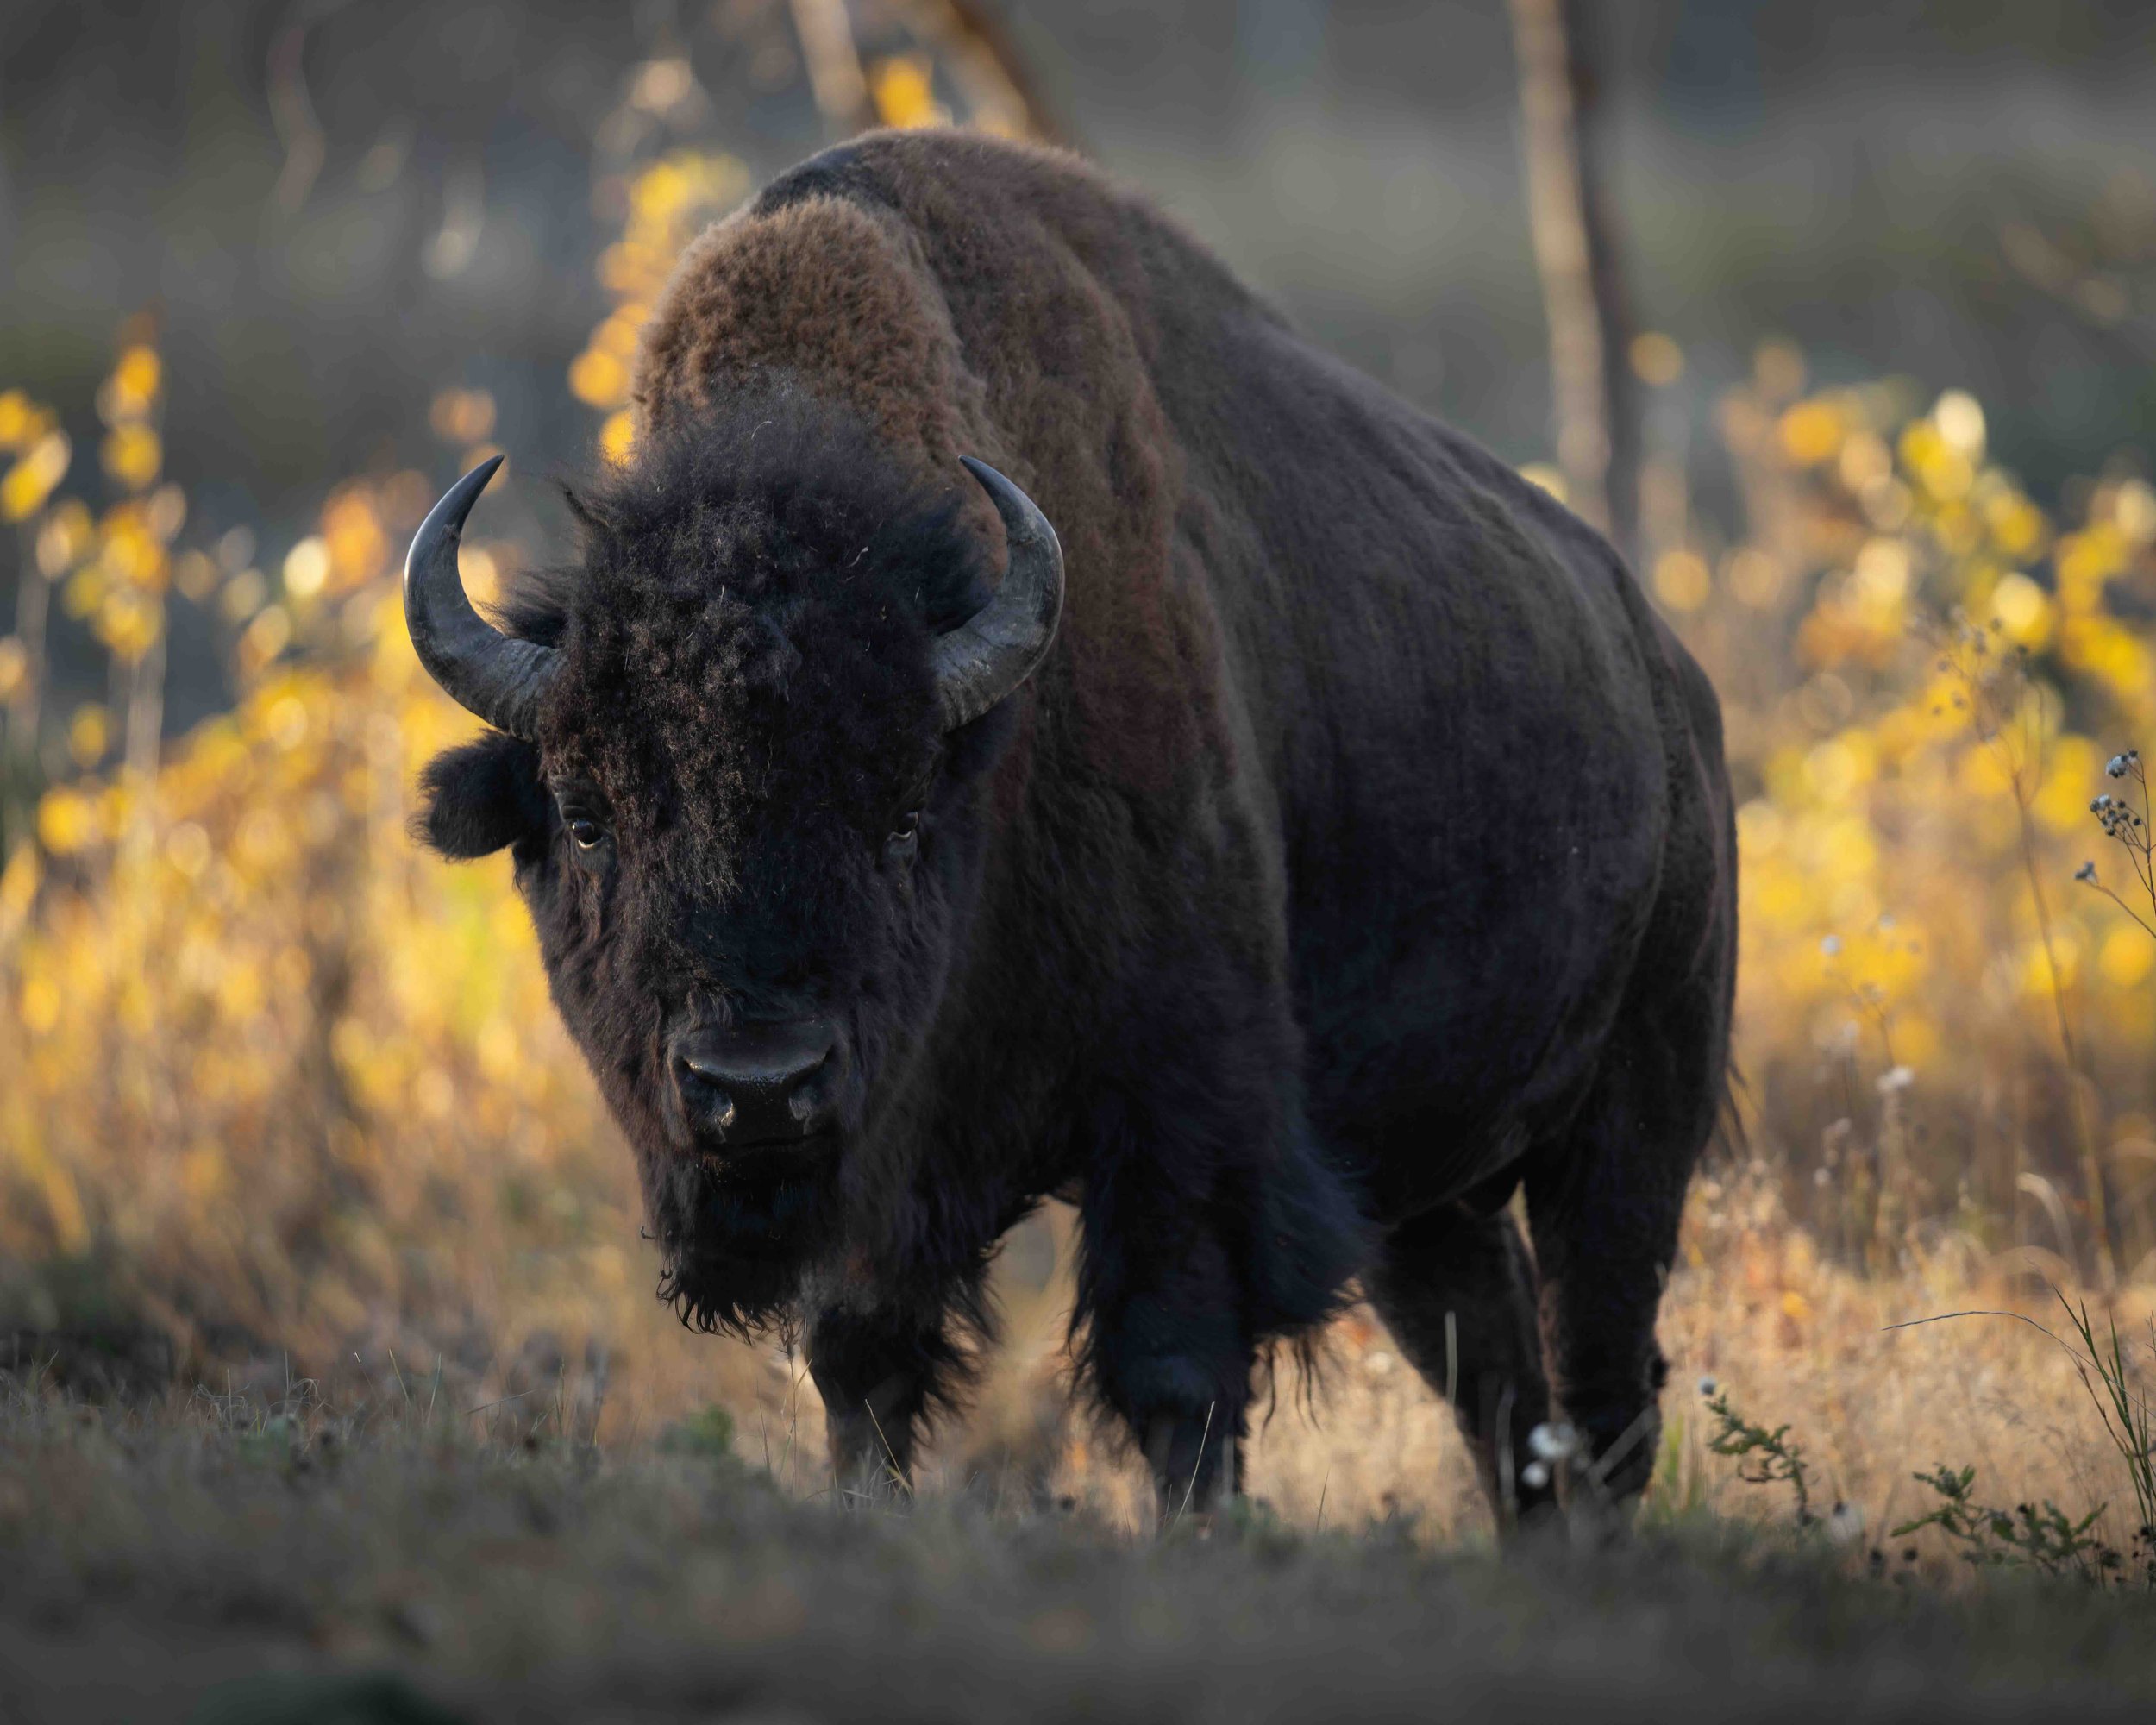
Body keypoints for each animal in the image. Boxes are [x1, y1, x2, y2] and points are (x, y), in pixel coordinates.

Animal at [408, 130, 1734, 1525]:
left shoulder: (1176, 1113)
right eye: (585, 814)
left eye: (901, 815)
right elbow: (861, 1358)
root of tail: (1673, 680)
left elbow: (1173, 1364)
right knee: (1500, 1387)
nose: (754, 1084)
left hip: (1631, 1116)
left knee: (1602, 1376)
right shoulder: (882, 1159)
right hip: (1430, 1202)